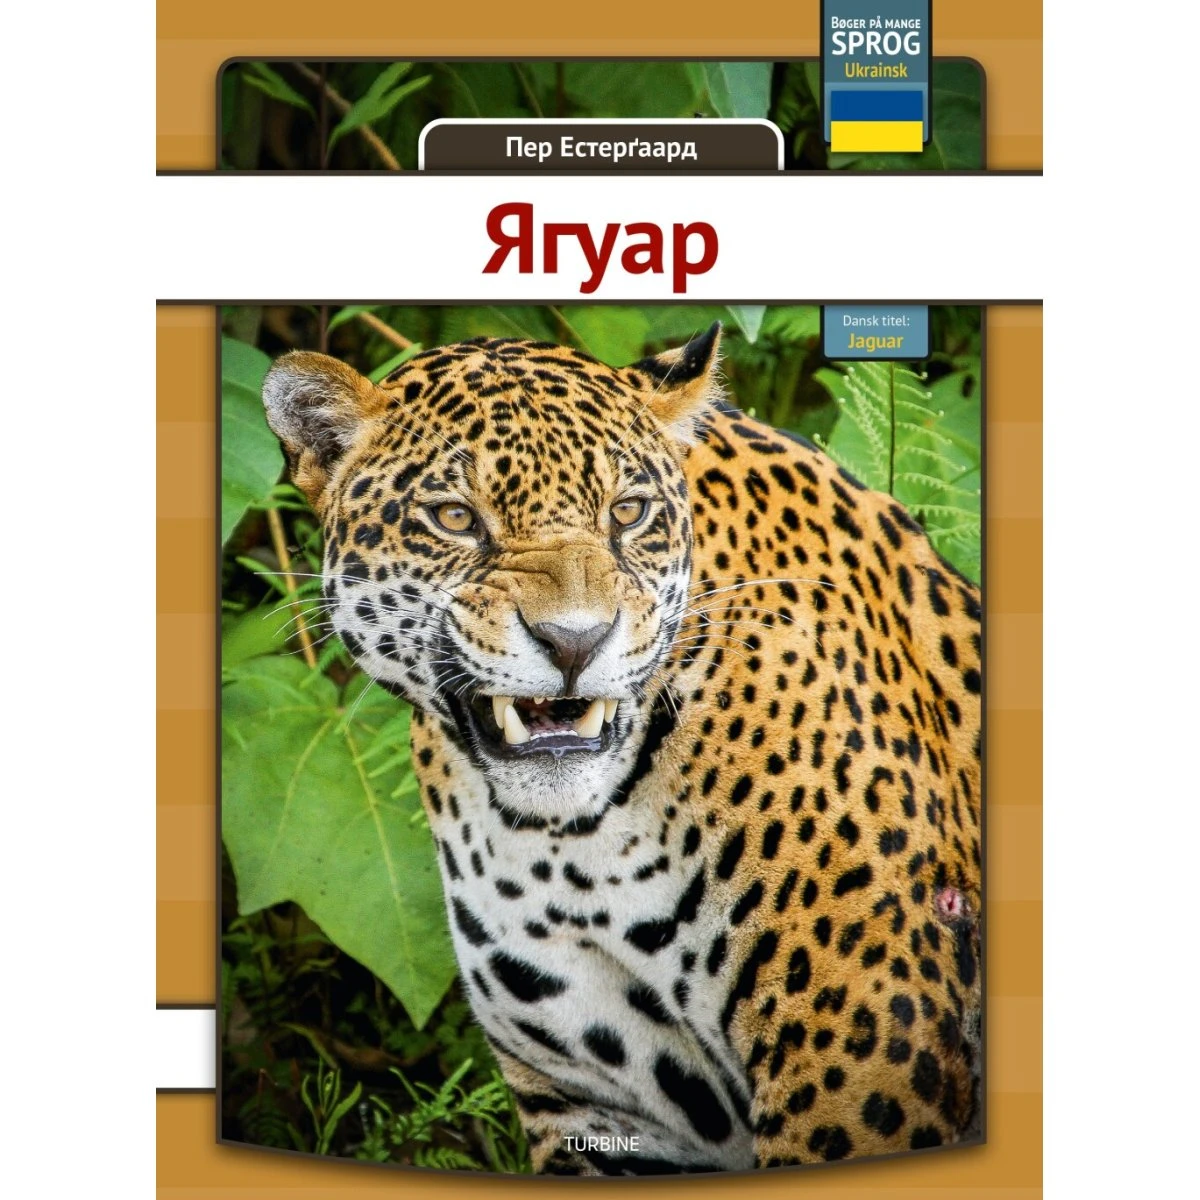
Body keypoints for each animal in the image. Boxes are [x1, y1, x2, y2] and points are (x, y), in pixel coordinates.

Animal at [261, 323, 983, 1175]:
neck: (575, 850)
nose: (575, 641)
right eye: (455, 518)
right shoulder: (598, 1106)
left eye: (629, 512)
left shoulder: (864, 1058)